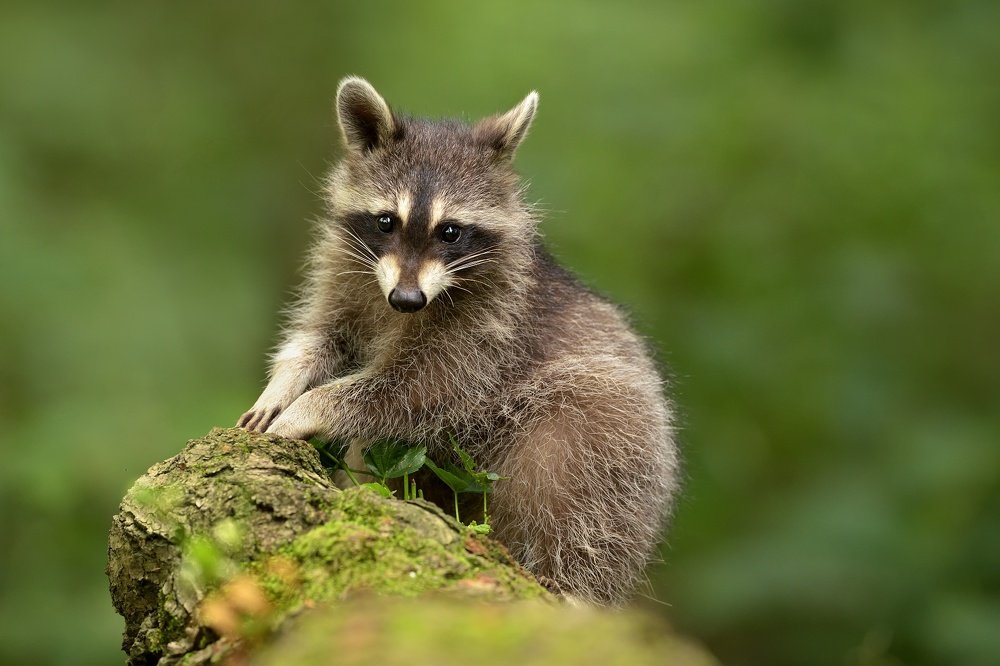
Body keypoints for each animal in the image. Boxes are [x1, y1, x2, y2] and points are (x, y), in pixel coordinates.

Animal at [238, 77, 680, 605]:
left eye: (450, 232)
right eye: (386, 221)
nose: (406, 299)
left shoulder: (490, 328)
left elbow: (417, 390)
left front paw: (311, 405)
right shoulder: (343, 271)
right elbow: (322, 336)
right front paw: (283, 385)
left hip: (615, 436)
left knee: (575, 484)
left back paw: (569, 583)